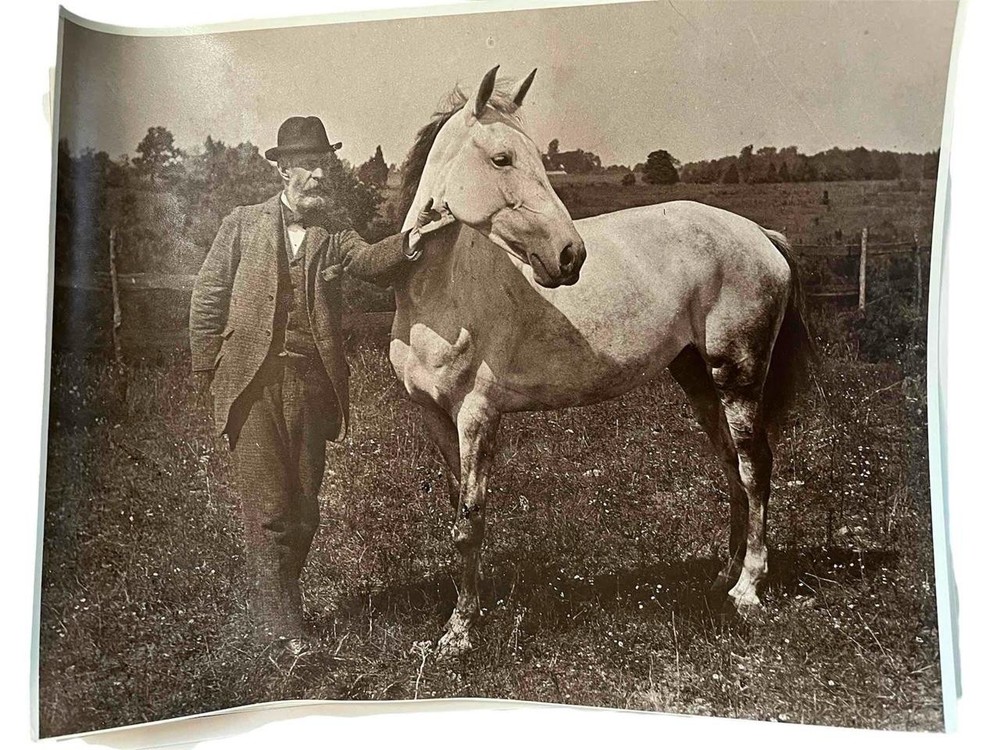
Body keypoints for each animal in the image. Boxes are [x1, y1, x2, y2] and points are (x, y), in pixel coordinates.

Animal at [388, 66, 812, 655]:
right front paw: (474, 609)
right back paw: (723, 575)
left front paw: (458, 632)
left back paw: (748, 588)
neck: (439, 292)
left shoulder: (477, 417)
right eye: (503, 159)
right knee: (731, 464)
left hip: (738, 375)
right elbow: (462, 512)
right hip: (697, 377)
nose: (570, 256)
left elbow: (468, 523)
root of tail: (761, 235)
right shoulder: (434, 418)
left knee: (755, 469)